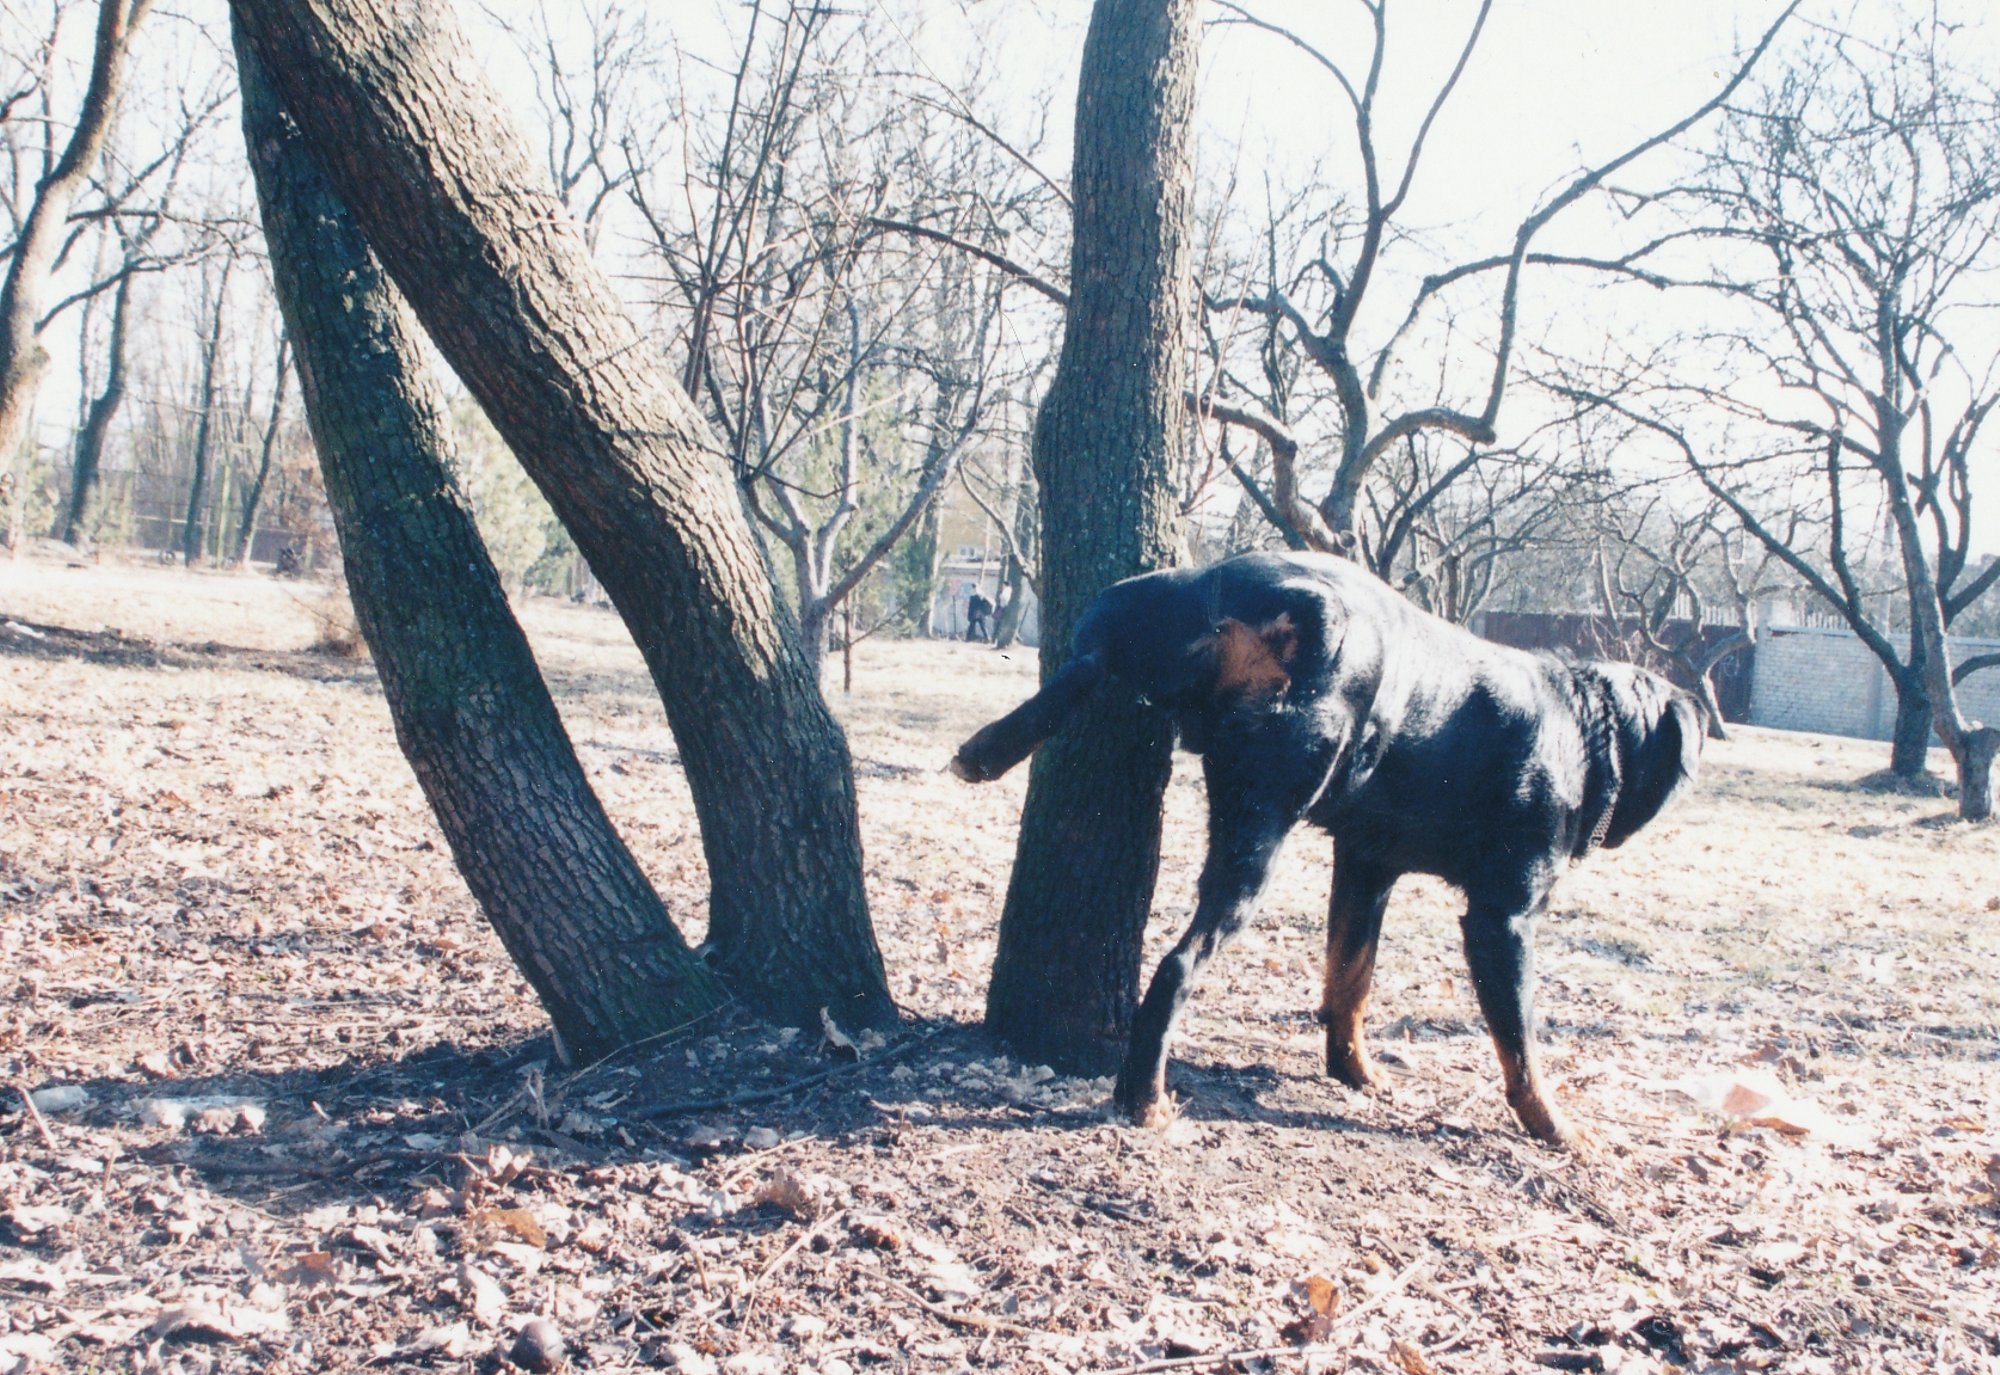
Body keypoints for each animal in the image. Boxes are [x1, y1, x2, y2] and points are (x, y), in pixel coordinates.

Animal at [952, 551, 1704, 1151]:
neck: (1589, 735)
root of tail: (1251, 598)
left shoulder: (1367, 869)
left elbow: (1351, 980)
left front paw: (1354, 1071)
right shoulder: (1505, 917)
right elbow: (1520, 1045)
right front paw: (1555, 1127)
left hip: (1138, 612)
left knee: (1090, 655)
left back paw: (989, 746)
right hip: (1261, 824)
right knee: (1177, 966)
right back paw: (1144, 1099)